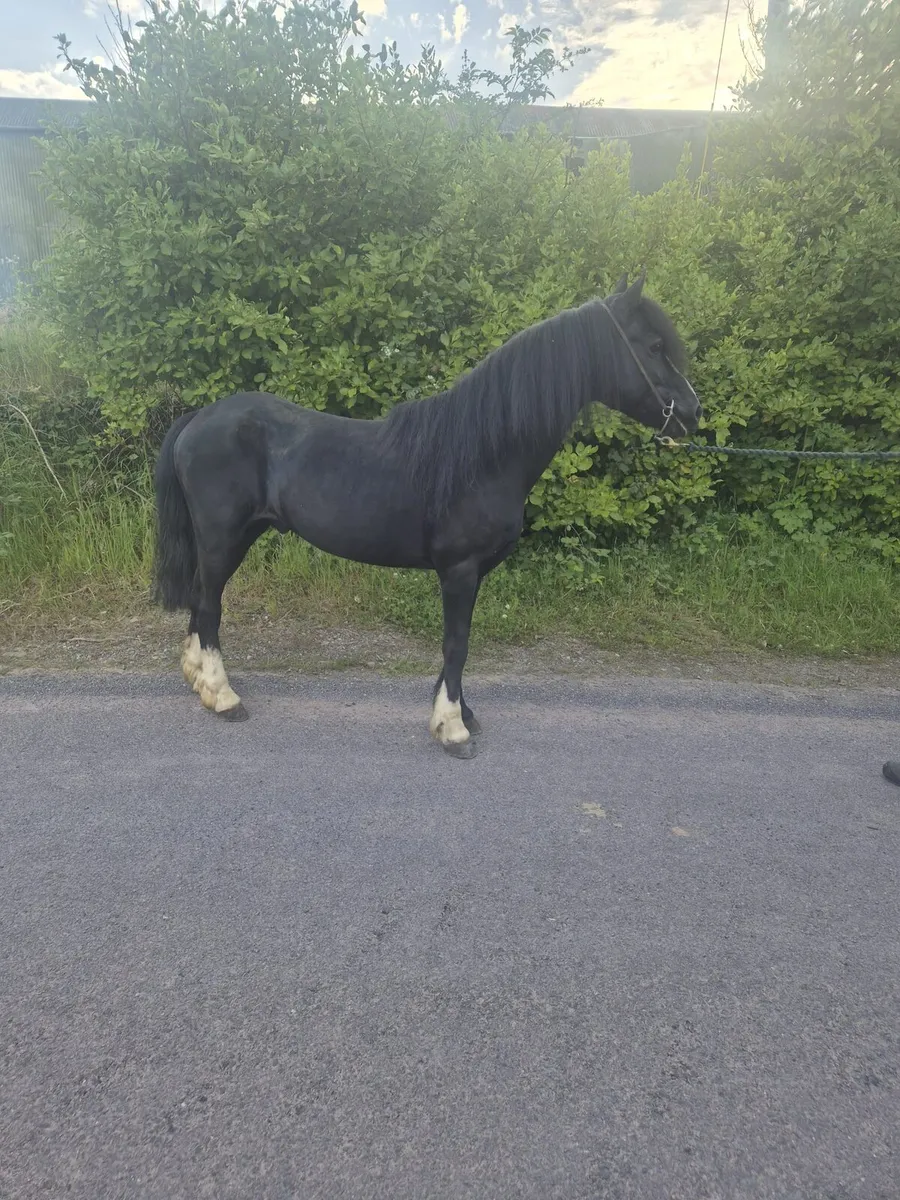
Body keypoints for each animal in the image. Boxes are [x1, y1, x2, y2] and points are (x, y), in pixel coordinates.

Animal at [152, 273, 702, 758]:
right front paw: (453, 729)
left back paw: (200, 680)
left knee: (200, 605)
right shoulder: (459, 569)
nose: (693, 412)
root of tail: (199, 418)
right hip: (223, 538)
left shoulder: (473, 572)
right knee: (209, 607)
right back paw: (224, 697)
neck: (484, 453)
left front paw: (460, 712)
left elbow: (455, 648)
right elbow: (457, 645)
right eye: (654, 346)